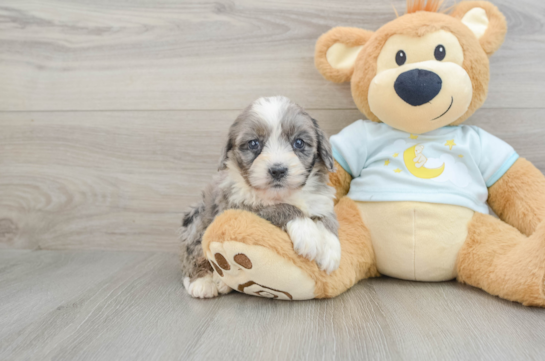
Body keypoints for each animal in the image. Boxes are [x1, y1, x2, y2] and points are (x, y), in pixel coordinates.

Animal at [178, 94, 340, 296]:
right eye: (254, 144)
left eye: (299, 142)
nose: (278, 170)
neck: (281, 194)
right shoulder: (237, 208)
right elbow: (282, 208)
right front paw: (307, 232)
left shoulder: (320, 199)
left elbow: (328, 218)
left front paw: (330, 248)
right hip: (197, 221)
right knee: (192, 253)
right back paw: (203, 282)